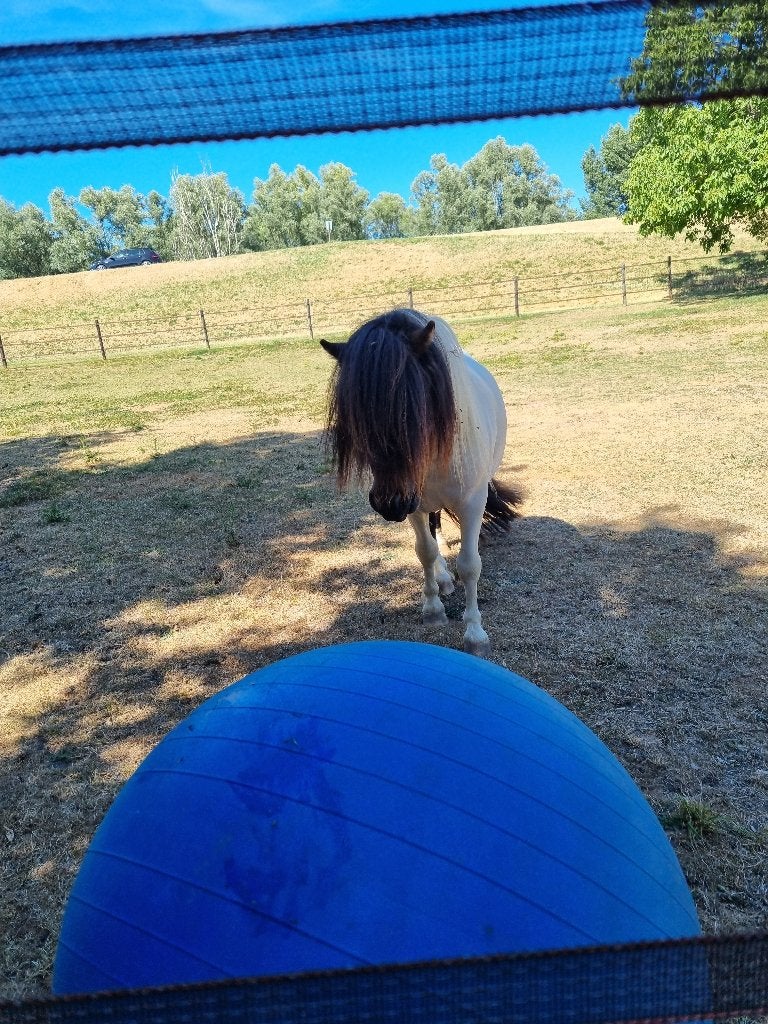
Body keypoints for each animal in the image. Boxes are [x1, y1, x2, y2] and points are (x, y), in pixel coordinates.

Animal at [320, 307, 521, 657]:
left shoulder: (471, 503)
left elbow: (470, 564)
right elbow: (425, 551)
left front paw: (475, 634)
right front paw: (433, 609)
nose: (389, 503)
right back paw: (442, 577)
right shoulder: (413, 503)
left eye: (411, 409)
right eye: (356, 418)